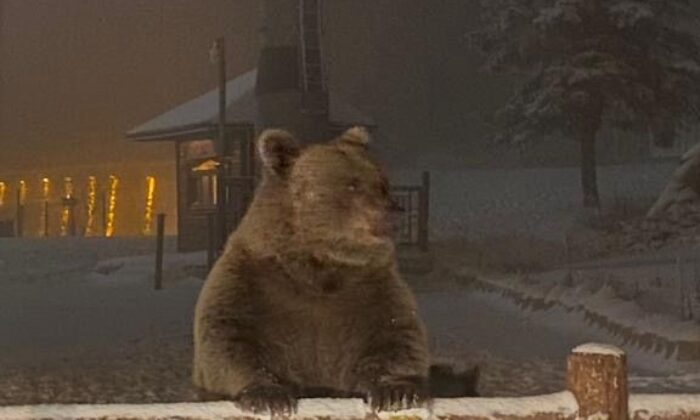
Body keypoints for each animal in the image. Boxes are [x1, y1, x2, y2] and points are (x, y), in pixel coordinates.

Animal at [194, 127, 430, 414]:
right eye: (352, 184)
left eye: (383, 182)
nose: (395, 211)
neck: (317, 265)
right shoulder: (249, 283)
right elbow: (228, 338)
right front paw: (269, 396)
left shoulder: (371, 288)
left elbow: (397, 335)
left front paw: (396, 391)